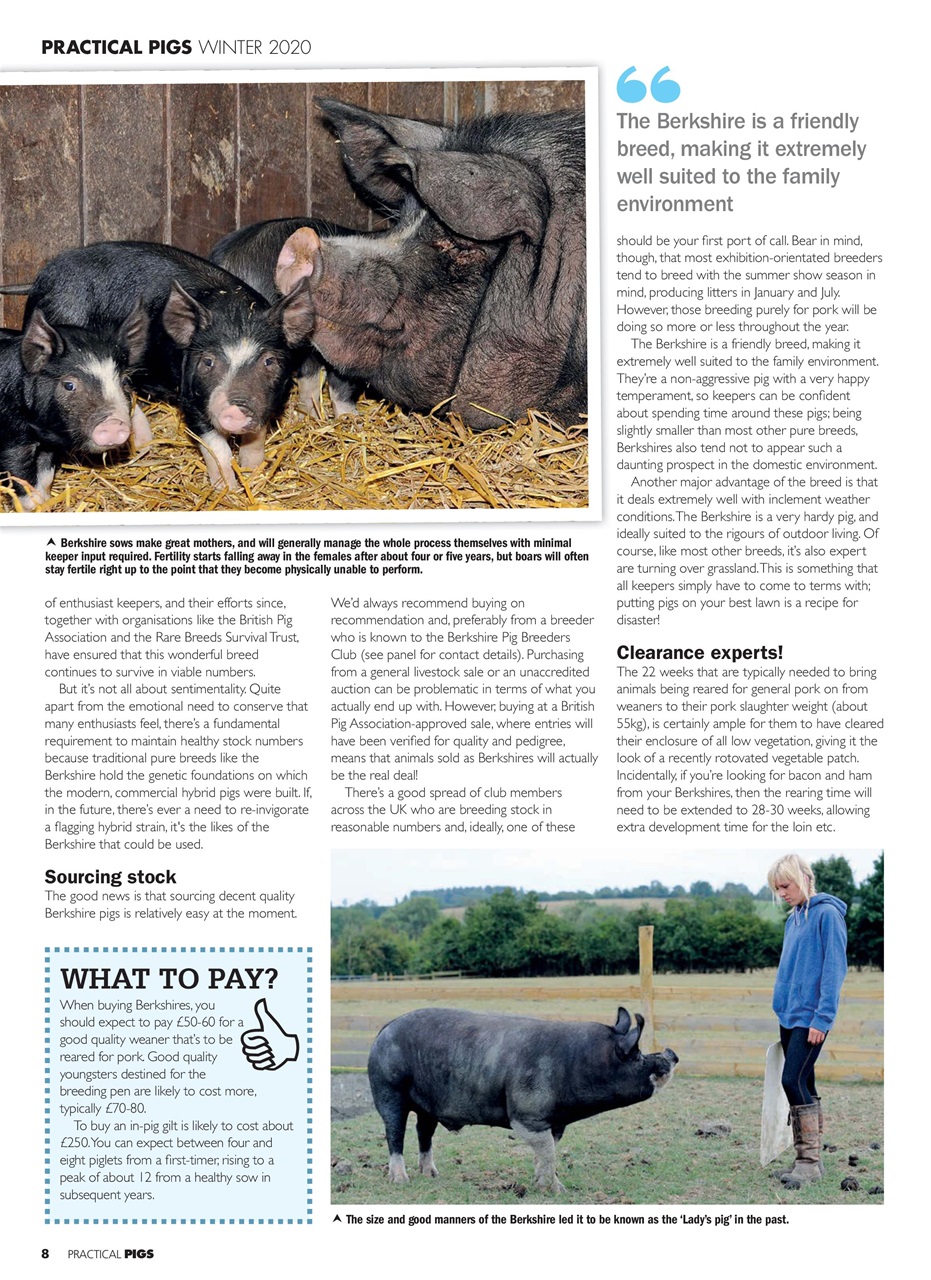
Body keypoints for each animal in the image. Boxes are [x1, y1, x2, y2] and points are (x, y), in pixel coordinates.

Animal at [0, 304, 149, 510]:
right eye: (69, 385)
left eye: (125, 381)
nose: (114, 423)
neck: (40, 431)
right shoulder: (13, 441)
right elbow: (23, 483)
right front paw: (36, 507)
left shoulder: (49, 443)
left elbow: (45, 478)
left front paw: (47, 501)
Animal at [24, 242, 315, 491]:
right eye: (208, 361)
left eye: (269, 361)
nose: (236, 408)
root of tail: (42, 278)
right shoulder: (191, 399)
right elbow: (216, 449)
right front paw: (228, 492)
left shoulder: (271, 399)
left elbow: (256, 438)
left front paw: (253, 475)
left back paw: (144, 444)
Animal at [367, 1006, 677, 1193]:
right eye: (636, 1055)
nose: (671, 1053)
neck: (577, 1063)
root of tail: (385, 1029)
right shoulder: (527, 1114)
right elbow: (547, 1151)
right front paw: (555, 1190)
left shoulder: (553, 1121)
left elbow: (548, 1151)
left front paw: (547, 1186)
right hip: (388, 1089)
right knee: (394, 1132)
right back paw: (401, 1180)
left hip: (427, 1104)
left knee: (424, 1132)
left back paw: (432, 1174)